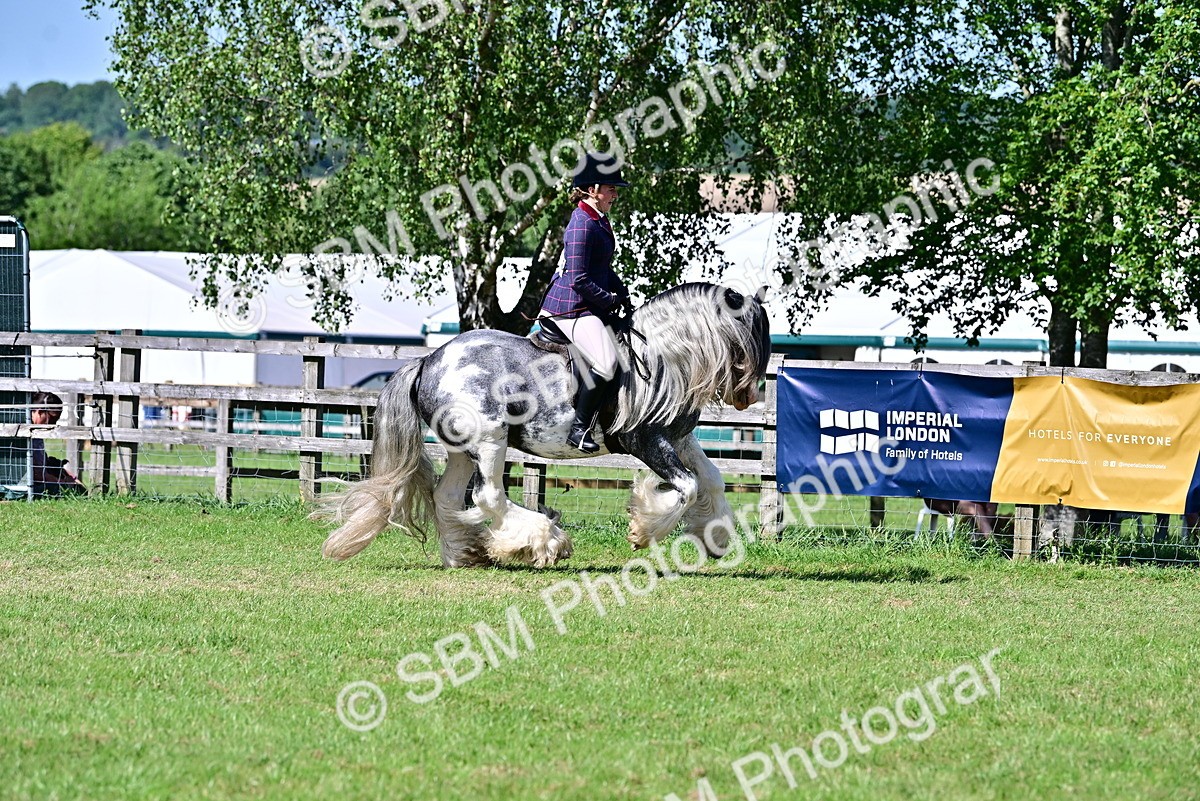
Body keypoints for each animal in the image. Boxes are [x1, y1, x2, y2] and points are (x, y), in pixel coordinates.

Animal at [317, 282, 772, 568]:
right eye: (748, 331)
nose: (749, 397)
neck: (662, 356)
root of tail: (429, 359)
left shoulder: (678, 437)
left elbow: (711, 479)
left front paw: (715, 537)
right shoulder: (645, 439)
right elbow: (688, 485)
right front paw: (643, 531)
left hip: (462, 448)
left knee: (448, 496)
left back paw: (466, 554)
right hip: (490, 440)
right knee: (488, 497)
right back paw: (545, 542)